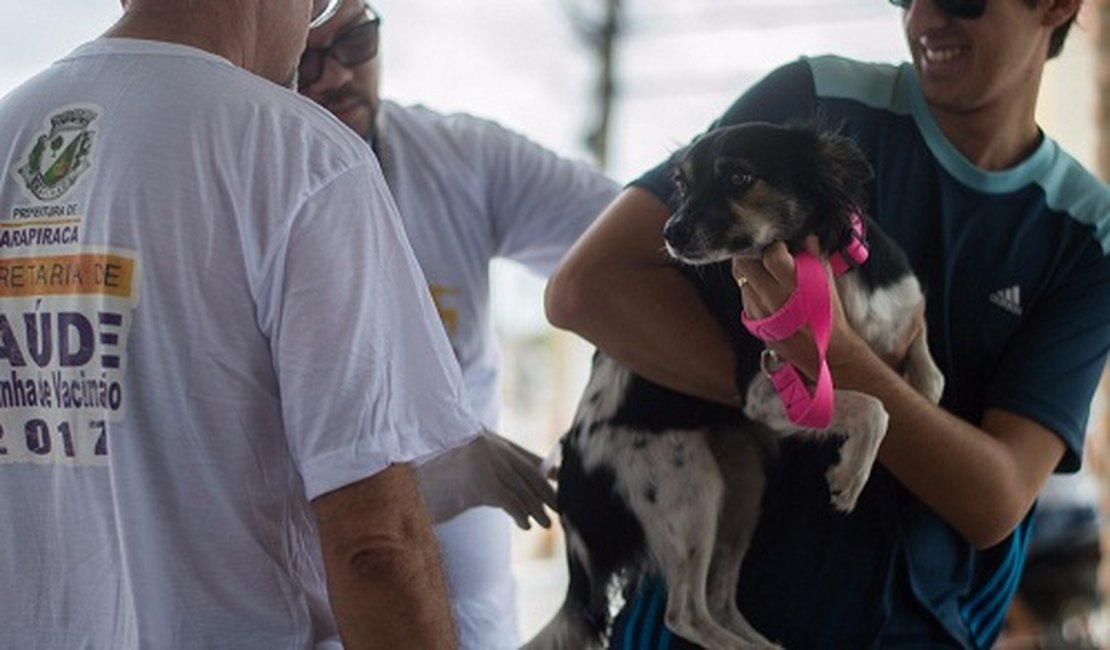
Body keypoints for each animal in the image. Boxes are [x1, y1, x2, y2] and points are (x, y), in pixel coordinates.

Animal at [523, 122, 941, 647]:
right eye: (681, 184)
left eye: (740, 177)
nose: (670, 232)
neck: (818, 271)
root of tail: (571, 465)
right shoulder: (763, 391)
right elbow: (874, 408)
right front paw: (851, 476)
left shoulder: (903, 311)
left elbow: (929, 371)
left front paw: (920, 398)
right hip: (686, 485)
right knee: (687, 613)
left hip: (742, 484)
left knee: (720, 601)